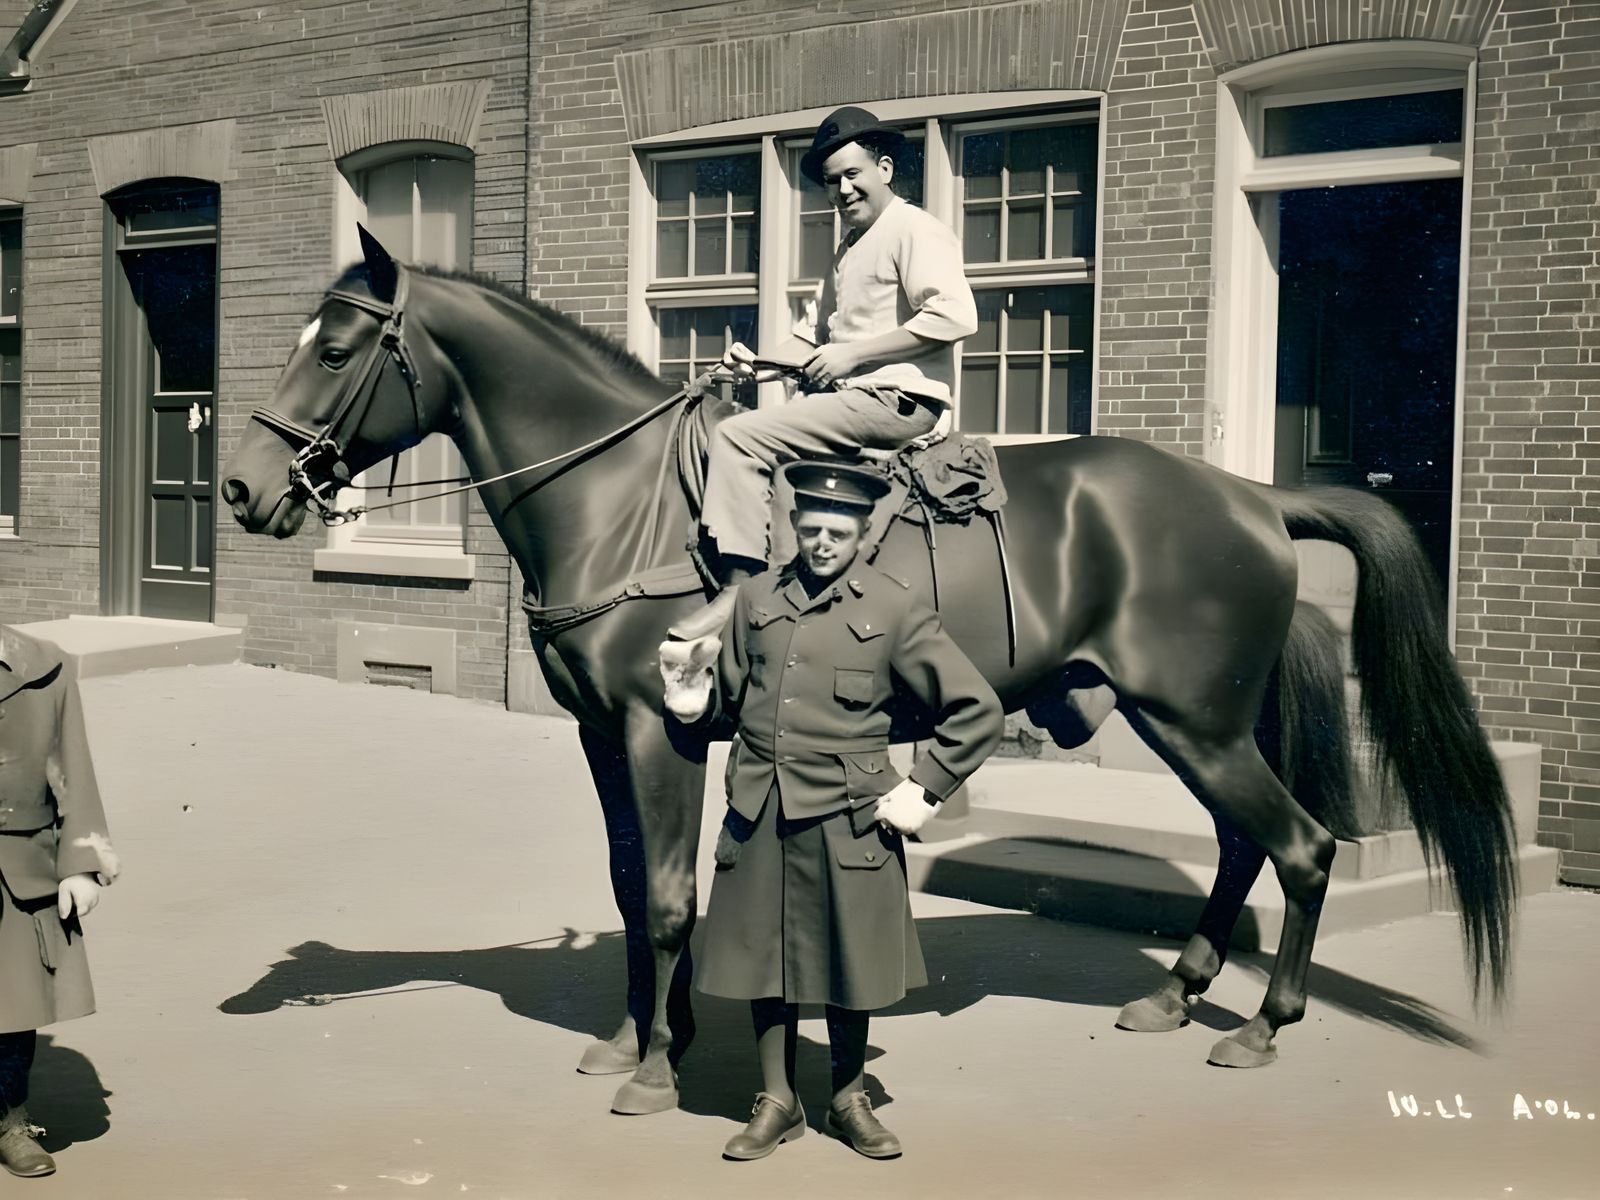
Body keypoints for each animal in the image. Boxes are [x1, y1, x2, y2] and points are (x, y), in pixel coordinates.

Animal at [220, 229, 1518, 1113]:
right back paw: (1176, 992)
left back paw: (1260, 1026)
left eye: (335, 346)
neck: (624, 501)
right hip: (1188, 723)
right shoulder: (601, 733)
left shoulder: (656, 728)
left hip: (1194, 721)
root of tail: (1249, 493)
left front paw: (655, 1067)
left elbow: (668, 895)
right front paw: (643, 1033)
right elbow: (632, 887)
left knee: (1301, 848)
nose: (240, 487)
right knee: (1248, 844)